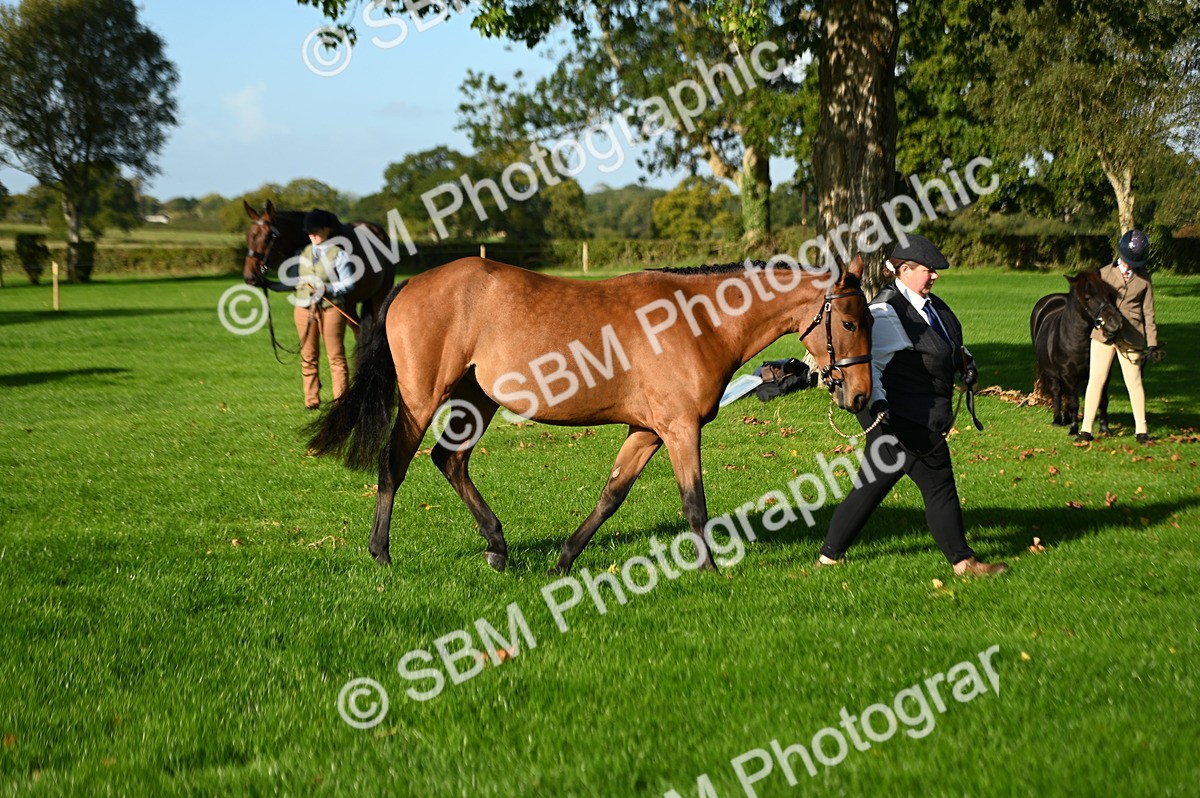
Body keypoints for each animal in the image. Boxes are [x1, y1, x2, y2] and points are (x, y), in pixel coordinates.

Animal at [307, 254, 873, 574]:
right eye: (849, 321)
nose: (861, 395)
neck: (700, 321)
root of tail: (409, 284)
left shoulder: (646, 431)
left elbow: (611, 496)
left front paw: (565, 557)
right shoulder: (680, 429)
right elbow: (695, 504)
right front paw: (710, 569)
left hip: (477, 398)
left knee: (449, 461)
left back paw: (497, 546)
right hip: (423, 398)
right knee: (395, 465)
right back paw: (381, 553)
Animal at [1030, 269, 1123, 435]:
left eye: (1109, 294)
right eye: (1087, 297)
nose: (1116, 322)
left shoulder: (1102, 373)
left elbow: (1102, 400)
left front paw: (1104, 429)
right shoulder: (1068, 374)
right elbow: (1073, 402)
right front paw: (1074, 430)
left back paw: (1066, 419)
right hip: (1052, 374)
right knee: (1057, 392)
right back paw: (1058, 420)